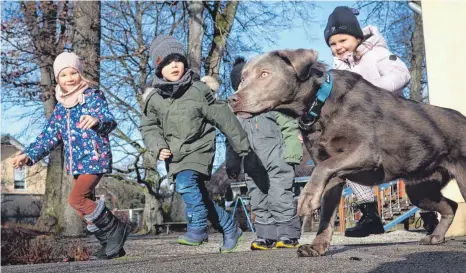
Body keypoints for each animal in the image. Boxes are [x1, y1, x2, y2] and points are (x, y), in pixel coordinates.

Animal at [228, 49, 466, 258]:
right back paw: (436, 237)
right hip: (419, 188)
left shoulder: (366, 152)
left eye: (265, 74)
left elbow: (322, 169)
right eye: (243, 78)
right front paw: (317, 247)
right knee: (451, 206)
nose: (232, 100)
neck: (320, 102)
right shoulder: (335, 178)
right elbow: (326, 216)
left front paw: (307, 199)